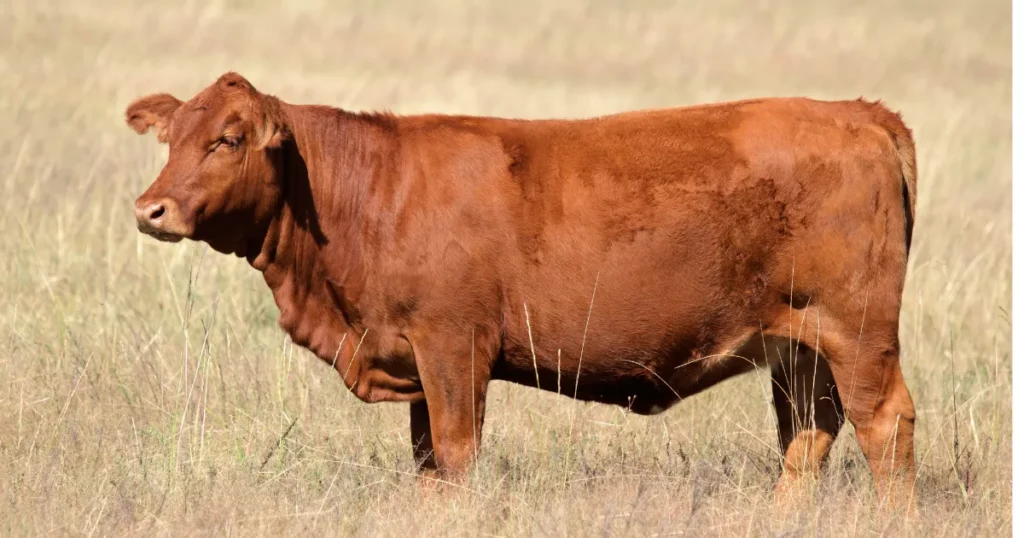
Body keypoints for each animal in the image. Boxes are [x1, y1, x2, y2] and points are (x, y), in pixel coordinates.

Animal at [125, 71, 921, 508]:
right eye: (172, 138)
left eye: (228, 139)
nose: (150, 209)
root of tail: (857, 113)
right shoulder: (417, 364)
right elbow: (428, 466)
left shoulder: (452, 347)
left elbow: (455, 457)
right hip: (800, 347)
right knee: (809, 435)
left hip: (858, 334)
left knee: (885, 426)